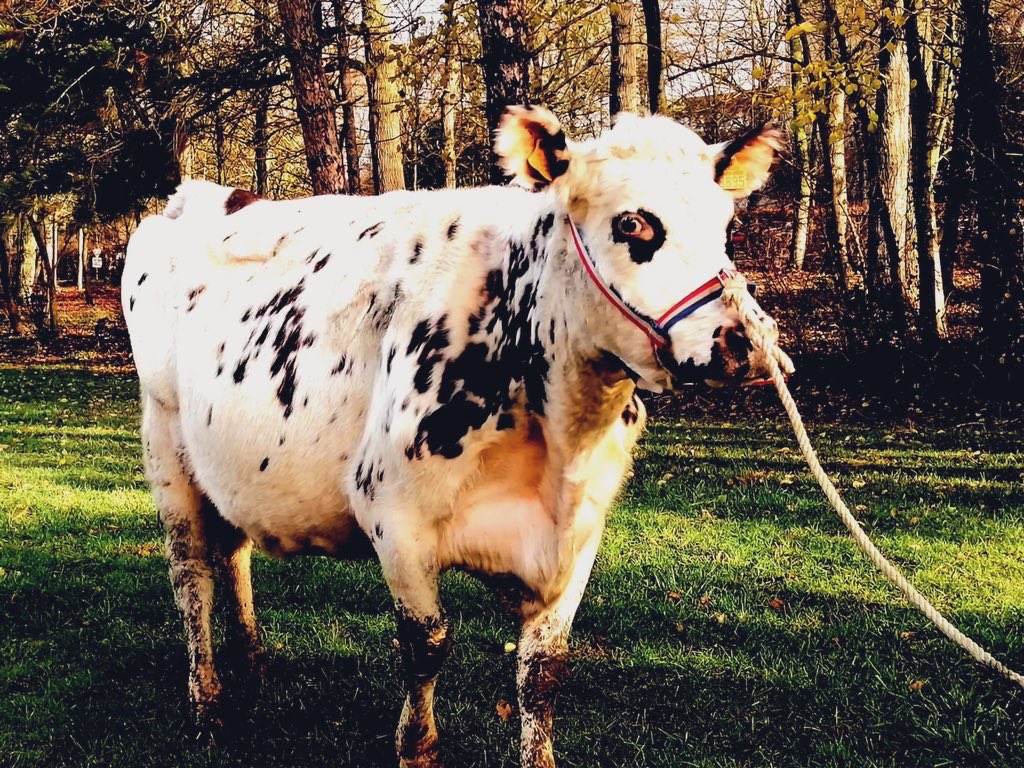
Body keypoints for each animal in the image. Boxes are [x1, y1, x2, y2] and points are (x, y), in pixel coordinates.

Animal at [121, 106, 789, 767]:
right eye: (633, 223)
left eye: (726, 223)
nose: (750, 343)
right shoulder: (394, 516)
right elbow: (426, 645)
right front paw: (416, 748)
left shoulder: (580, 533)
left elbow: (542, 671)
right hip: (166, 445)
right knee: (191, 575)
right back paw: (208, 705)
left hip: (224, 468)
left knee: (233, 553)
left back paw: (255, 666)